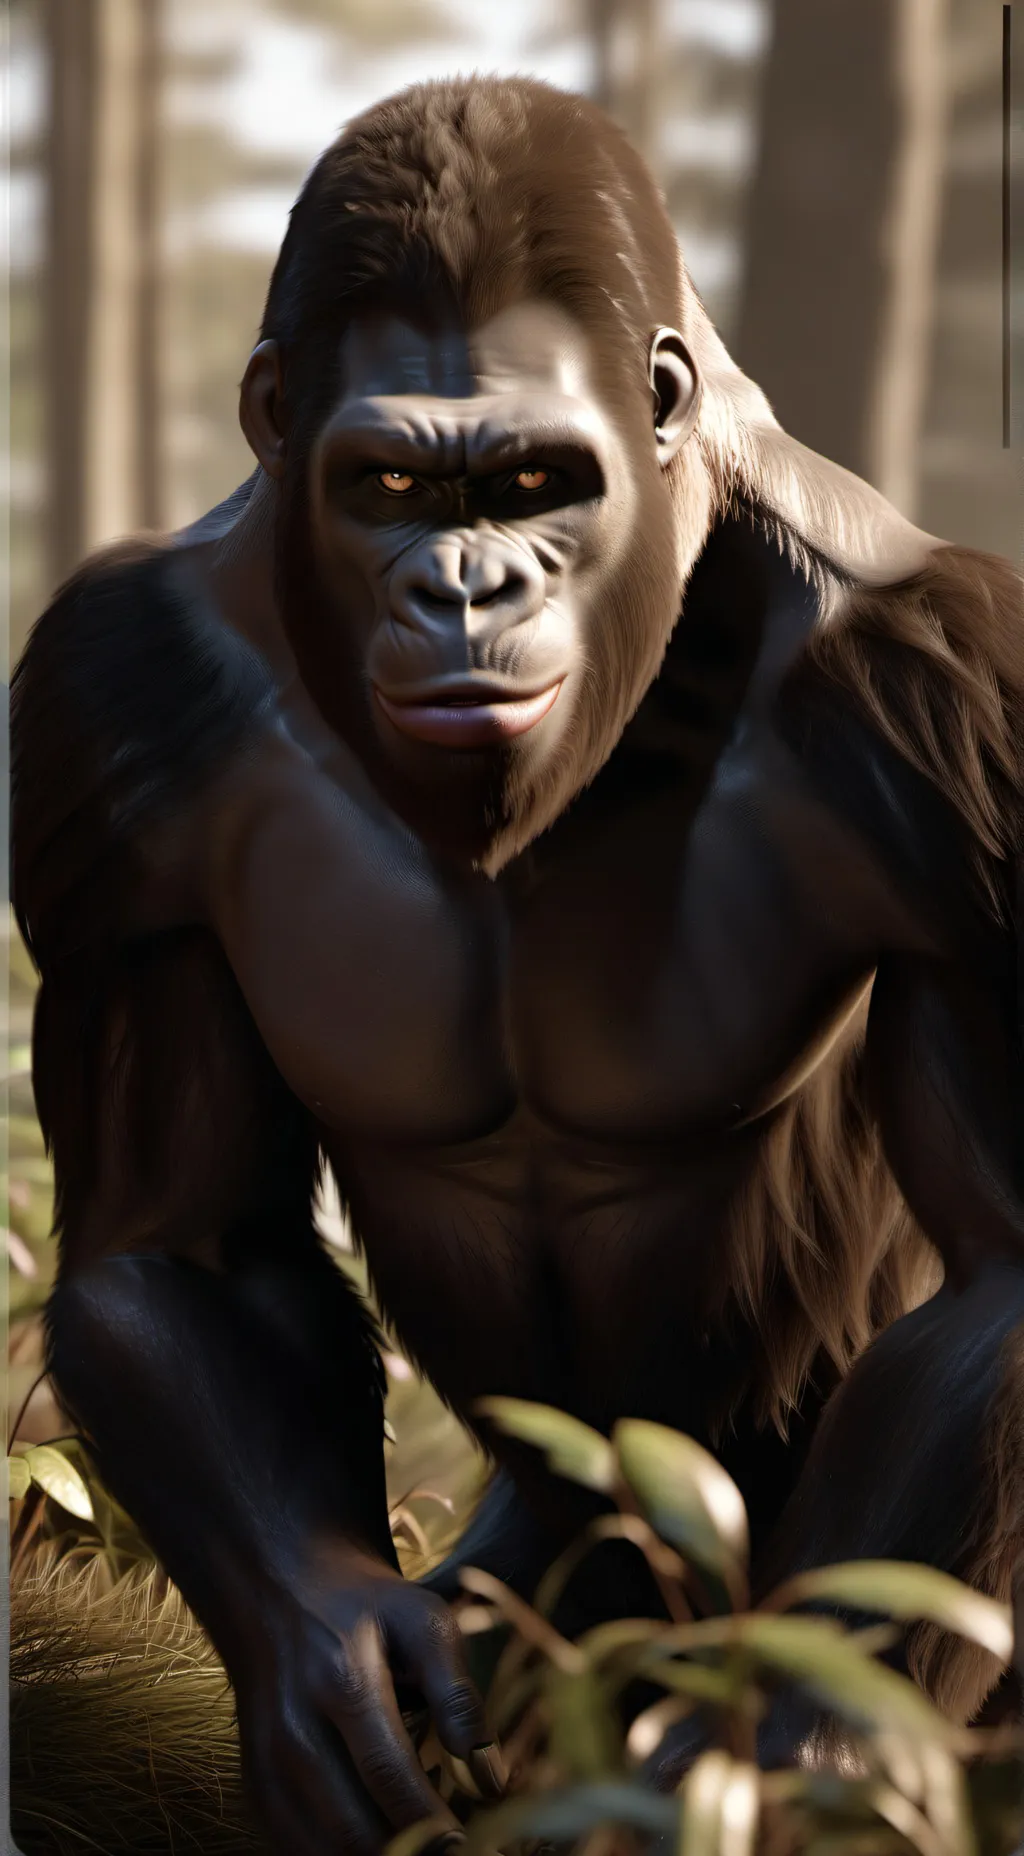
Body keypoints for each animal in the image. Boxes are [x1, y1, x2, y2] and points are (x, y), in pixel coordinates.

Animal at [11, 75, 1024, 1854]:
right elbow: (177, 1245)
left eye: (541, 479)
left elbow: (998, 1276)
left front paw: (807, 1756)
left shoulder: (936, 704)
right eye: (390, 491)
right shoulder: (106, 705)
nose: (465, 585)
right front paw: (330, 1668)